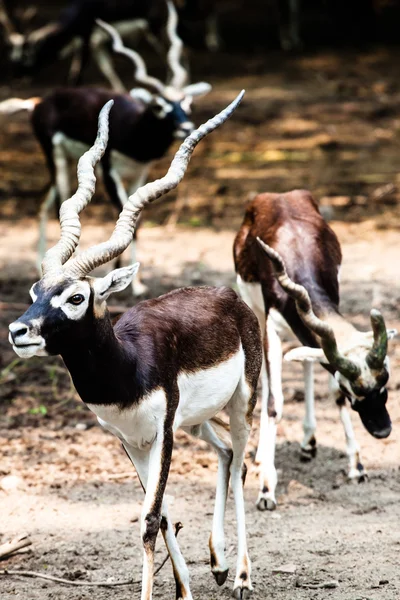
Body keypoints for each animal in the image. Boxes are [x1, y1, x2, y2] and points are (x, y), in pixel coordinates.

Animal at [7, 90, 262, 600]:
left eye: (76, 297)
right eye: (34, 291)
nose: (19, 331)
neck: (126, 369)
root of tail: (227, 296)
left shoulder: (161, 433)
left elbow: (148, 520)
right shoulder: (131, 439)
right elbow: (160, 516)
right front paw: (184, 590)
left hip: (241, 402)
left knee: (243, 460)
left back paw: (242, 575)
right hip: (195, 421)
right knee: (226, 455)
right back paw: (218, 564)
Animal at [233, 191, 396, 510]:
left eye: (385, 385)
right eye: (352, 390)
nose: (383, 430)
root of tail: (275, 196)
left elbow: (328, 388)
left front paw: (356, 466)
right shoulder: (272, 327)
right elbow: (274, 402)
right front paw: (267, 489)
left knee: (306, 363)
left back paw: (308, 442)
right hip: (255, 314)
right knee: (265, 385)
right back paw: (260, 458)